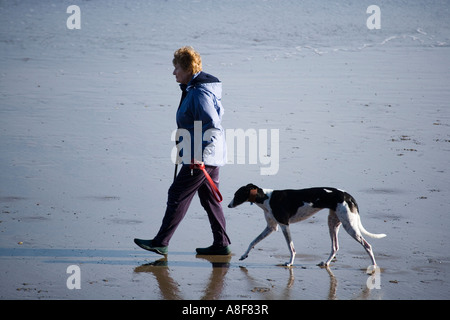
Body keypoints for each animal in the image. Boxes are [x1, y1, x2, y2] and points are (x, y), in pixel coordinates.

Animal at [229, 184, 386, 266]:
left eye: (237, 194)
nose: (228, 205)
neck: (267, 198)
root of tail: (348, 196)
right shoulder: (271, 227)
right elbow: (253, 241)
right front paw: (243, 255)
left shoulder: (284, 225)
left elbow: (291, 247)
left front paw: (290, 262)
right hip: (333, 223)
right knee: (335, 247)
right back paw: (326, 263)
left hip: (350, 226)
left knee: (367, 245)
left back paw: (373, 266)